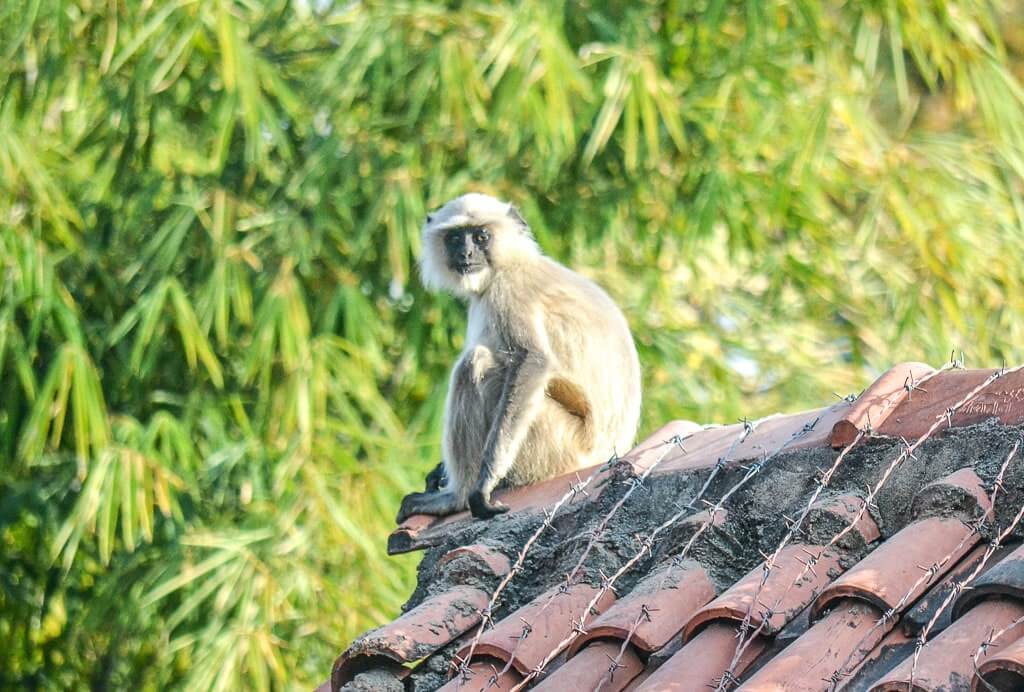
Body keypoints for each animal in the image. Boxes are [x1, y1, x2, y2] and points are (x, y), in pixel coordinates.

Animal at [397, 191, 643, 522]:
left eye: (481, 236)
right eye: (455, 238)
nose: (466, 253)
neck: (511, 263)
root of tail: (603, 454)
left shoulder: (509, 290)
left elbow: (533, 362)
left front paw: (481, 487)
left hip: (555, 446)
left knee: (476, 364)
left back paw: (456, 497)